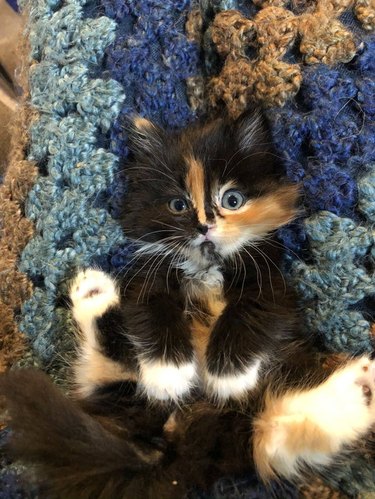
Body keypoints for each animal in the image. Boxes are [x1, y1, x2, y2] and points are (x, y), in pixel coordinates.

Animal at [0, 111, 375, 498]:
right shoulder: (148, 280)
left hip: (243, 424)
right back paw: (95, 294)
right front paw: (169, 375)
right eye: (178, 205)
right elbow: (154, 315)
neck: (207, 264)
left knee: (274, 437)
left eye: (232, 200)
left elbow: (245, 315)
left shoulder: (273, 288)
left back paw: (359, 389)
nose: (204, 226)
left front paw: (228, 376)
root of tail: (168, 444)